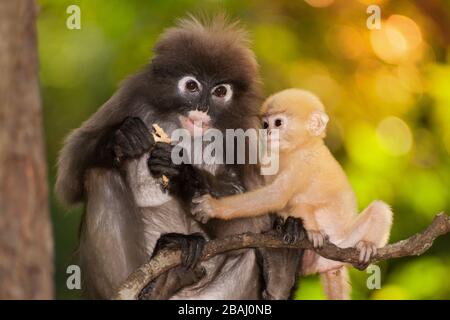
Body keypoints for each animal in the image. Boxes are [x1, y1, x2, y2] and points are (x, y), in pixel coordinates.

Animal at [192, 88, 392, 300]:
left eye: (278, 123)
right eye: (265, 124)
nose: (268, 131)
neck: (299, 147)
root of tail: (329, 265)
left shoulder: (303, 161)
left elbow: (277, 196)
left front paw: (213, 207)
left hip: (346, 243)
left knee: (378, 208)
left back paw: (364, 245)